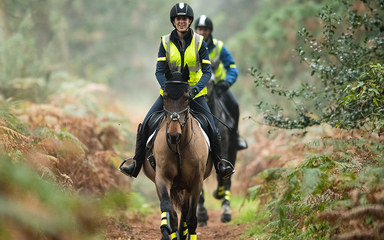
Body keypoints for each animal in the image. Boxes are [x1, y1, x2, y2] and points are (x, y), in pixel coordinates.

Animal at [142, 65, 213, 240]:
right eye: (166, 97)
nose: (173, 135)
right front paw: (168, 233)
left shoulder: (196, 182)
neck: (179, 147)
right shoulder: (162, 178)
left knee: (186, 212)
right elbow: (169, 210)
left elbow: (191, 217)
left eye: (187, 97)